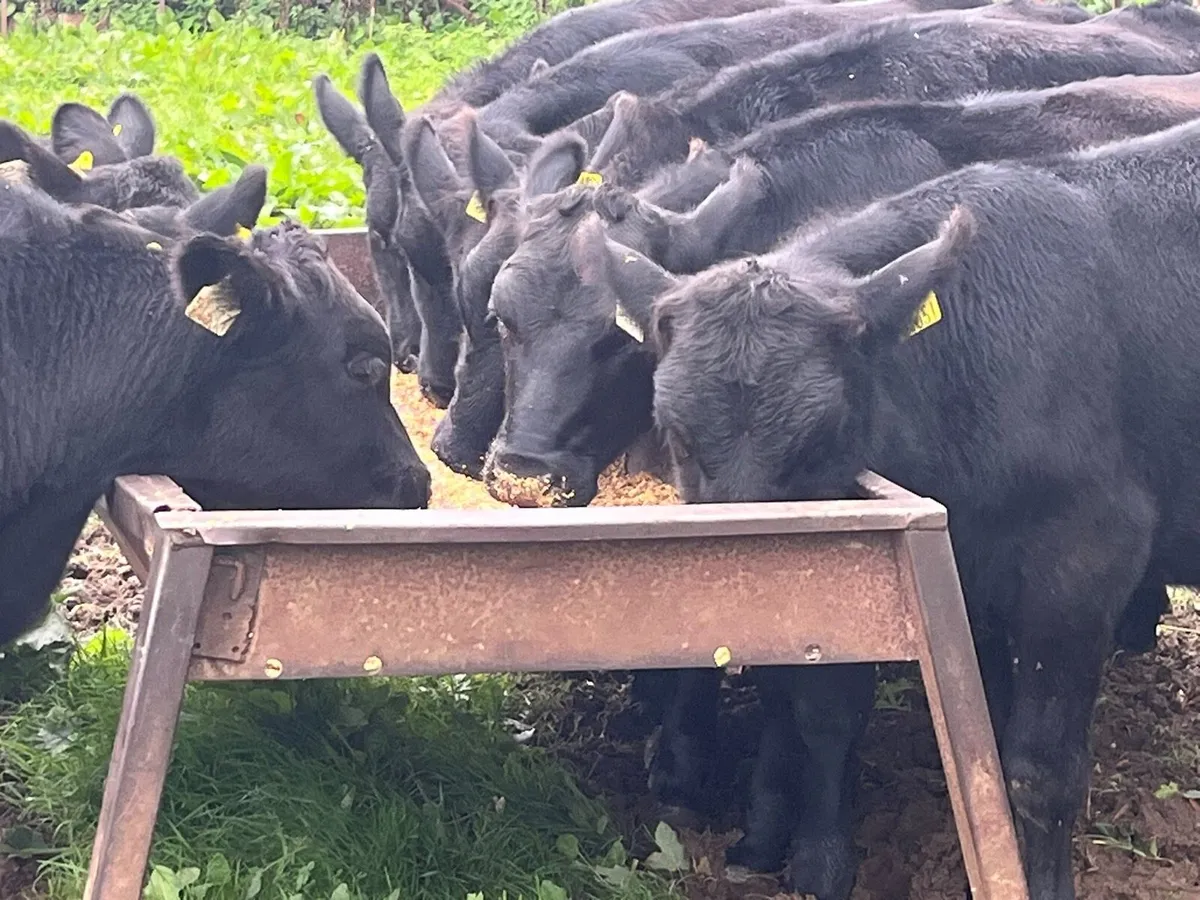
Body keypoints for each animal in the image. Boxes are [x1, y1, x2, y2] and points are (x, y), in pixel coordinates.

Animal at [577, 114, 1200, 900]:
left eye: (820, 439)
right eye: (677, 434)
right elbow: (849, 712)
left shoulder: (1088, 557)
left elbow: (1041, 769)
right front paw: (814, 859)